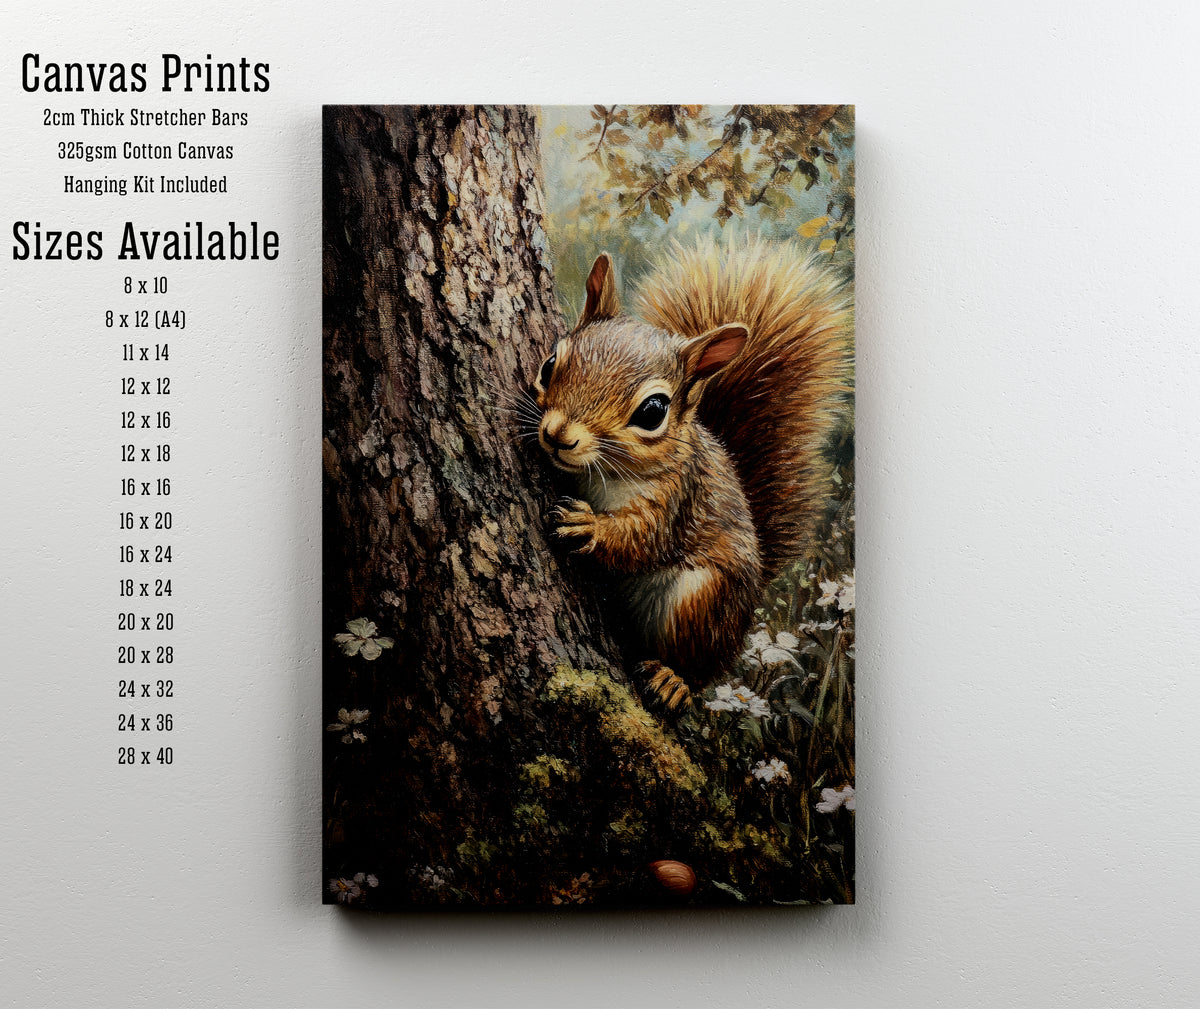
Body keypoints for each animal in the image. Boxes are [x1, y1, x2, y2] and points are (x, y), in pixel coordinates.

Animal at [534, 237, 851, 708]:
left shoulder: (679, 498)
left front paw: (588, 525)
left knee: (701, 667)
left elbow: (643, 538)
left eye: (653, 412)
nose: (558, 435)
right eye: (549, 364)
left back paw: (674, 681)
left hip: (702, 603)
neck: (605, 474)